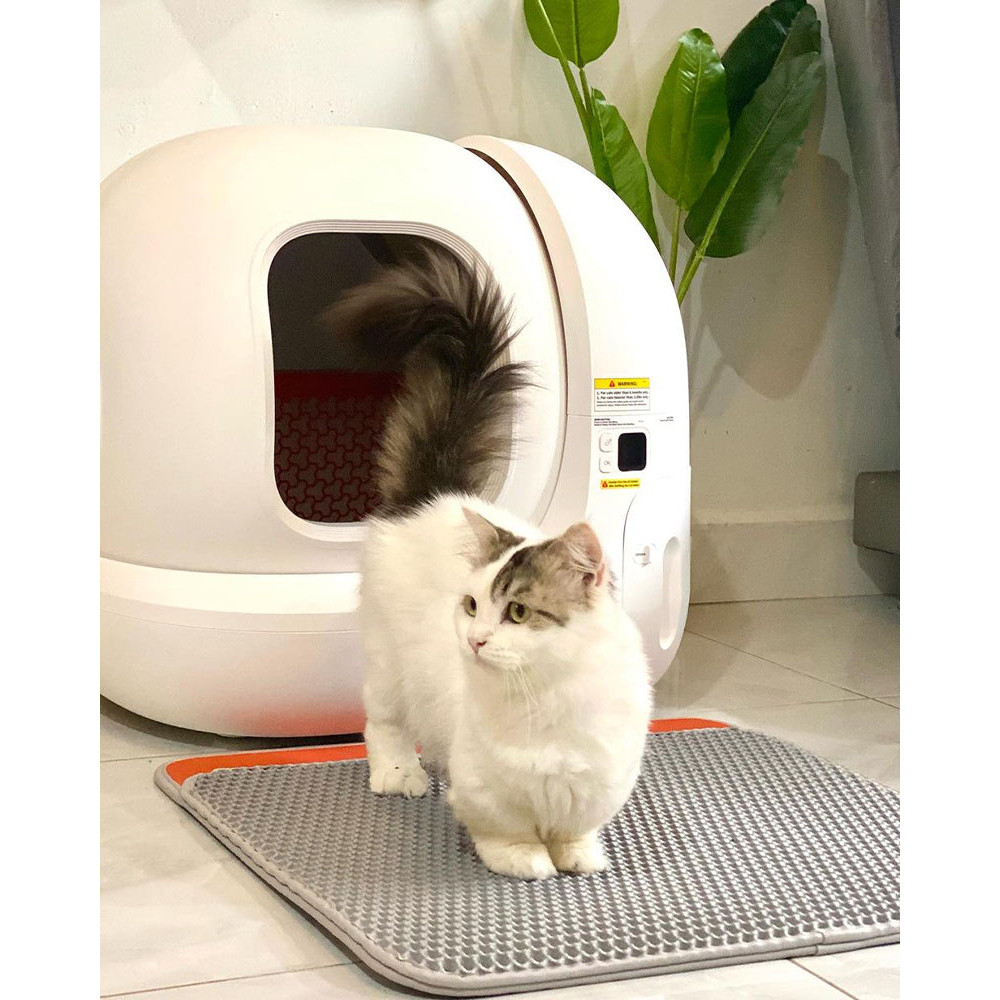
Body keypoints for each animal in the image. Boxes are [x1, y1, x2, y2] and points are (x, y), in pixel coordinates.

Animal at [321, 241, 652, 880]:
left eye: (518, 613)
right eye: (472, 605)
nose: (473, 640)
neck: (545, 699)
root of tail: (438, 493)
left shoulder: (597, 781)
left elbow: (577, 830)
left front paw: (579, 859)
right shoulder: (487, 790)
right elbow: (507, 834)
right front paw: (529, 863)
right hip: (389, 668)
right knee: (383, 724)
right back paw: (398, 775)